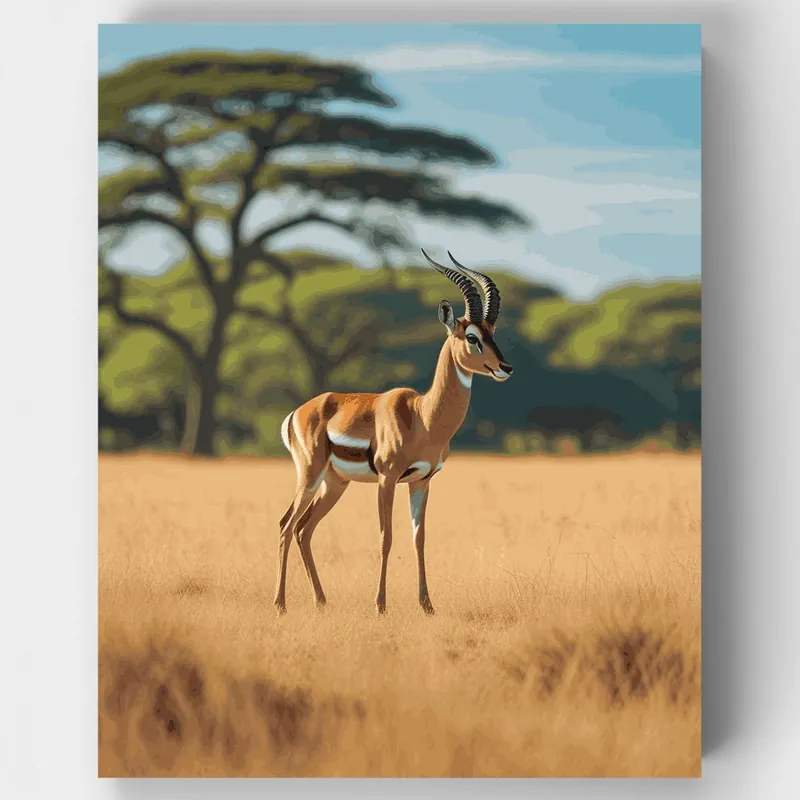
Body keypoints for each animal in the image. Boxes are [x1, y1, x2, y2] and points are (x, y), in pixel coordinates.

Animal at [274, 250, 514, 615]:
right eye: (471, 336)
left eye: (492, 332)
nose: (505, 367)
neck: (423, 417)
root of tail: (297, 412)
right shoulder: (387, 479)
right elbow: (386, 537)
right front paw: (380, 605)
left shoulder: (421, 481)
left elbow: (419, 538)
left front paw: (427, 605)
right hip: (311, 474)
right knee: (287, 525)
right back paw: (280, 604)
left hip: (335, 483)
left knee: (304, 528)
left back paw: (321, 601)